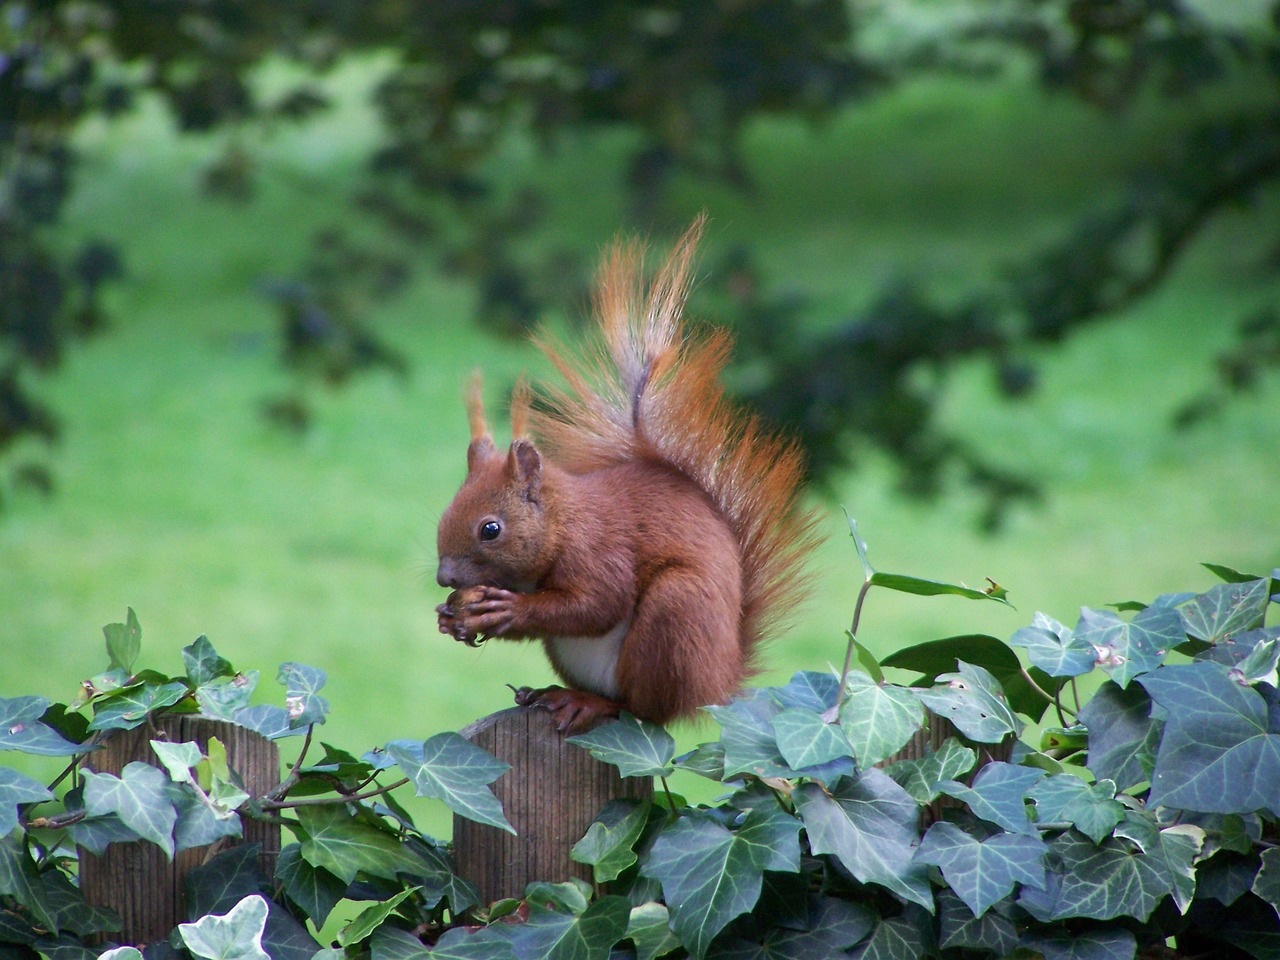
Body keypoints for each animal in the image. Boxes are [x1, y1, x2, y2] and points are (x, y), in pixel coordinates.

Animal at [435, 216, 814, 727]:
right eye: (444, 515)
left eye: (490, 529)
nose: (445, 578)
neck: (562, 521)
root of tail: (717, 684)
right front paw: (450, 617)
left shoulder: (600, 548)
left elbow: (597, 604)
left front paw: (508, 609)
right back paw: (551, 692)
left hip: (675, 618)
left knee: (643, 708)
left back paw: (591, 703)